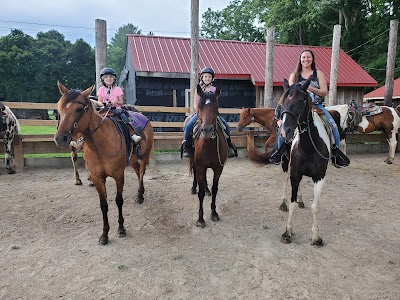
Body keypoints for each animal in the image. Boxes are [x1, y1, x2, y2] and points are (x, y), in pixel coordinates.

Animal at [55, 81, 155, 244]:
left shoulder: (119, 175)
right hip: (133, 159)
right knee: (137, 170)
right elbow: (103, 205)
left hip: (145, 155)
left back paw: (140, 195)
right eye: (59, 109)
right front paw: (105, 234)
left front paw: (121, 228)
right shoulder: (98, 178)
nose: (60, 138)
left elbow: (119, 200)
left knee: (141, 172)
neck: (100, 145)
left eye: (78, 109)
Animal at [191, 83, 228, 226]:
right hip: (193, 161)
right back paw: (193, 188)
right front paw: (200, 218)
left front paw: (214, 213)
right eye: (200, 107)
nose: (206, 130)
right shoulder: (201, 166)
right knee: (195, 173)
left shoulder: (218, 168)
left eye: (216, 107)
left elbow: (215, 189)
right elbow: (200, 193)